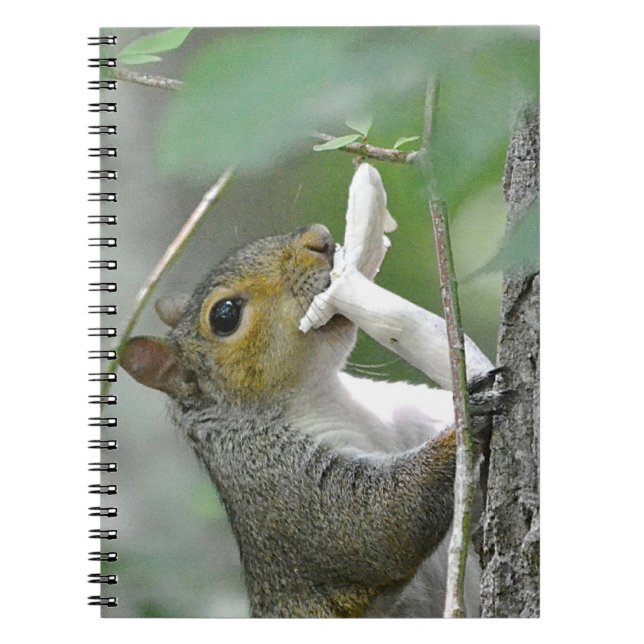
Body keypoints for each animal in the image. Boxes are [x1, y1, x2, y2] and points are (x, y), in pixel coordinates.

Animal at [121, 223, 497, 618]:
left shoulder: (403, 412)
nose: (318, 238)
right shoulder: (275, 480)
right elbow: (377, 521)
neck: (324, 393)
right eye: (224, 316)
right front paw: (466, 418)